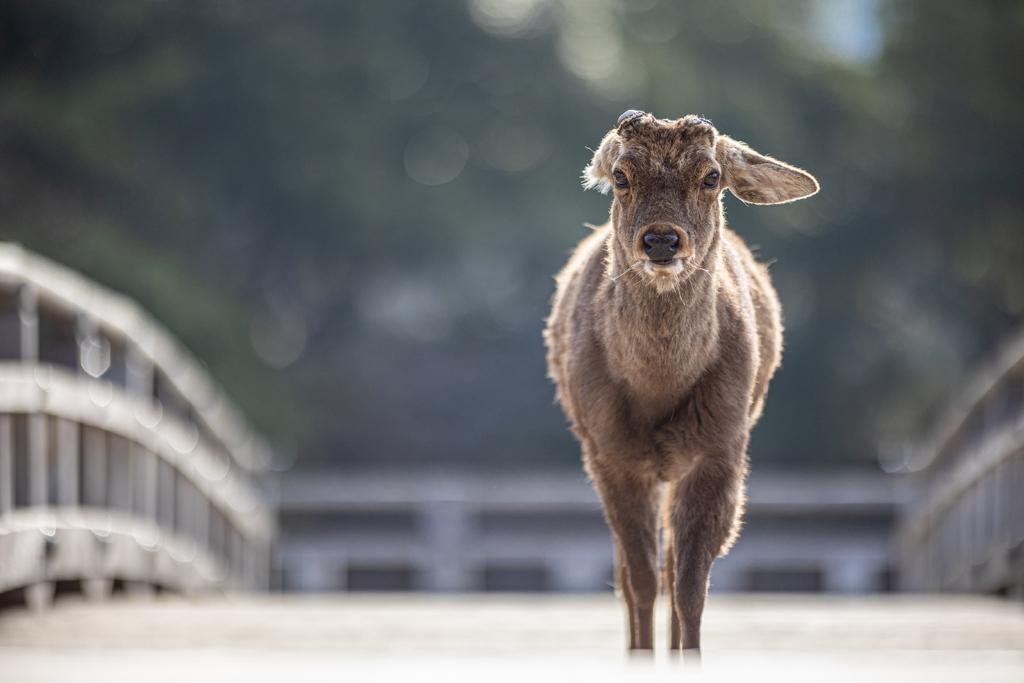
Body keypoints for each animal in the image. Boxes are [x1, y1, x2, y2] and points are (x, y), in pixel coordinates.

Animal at [548, 109, 819, 655]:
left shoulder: (721, 448)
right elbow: (640, 580)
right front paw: (640, 655)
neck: (658, 391)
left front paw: (686, 655)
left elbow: (690, 583)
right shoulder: (611, 455)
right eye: (621, 176)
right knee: (628, 573)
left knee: (672, 563)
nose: (660, 241)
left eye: (711, 177)